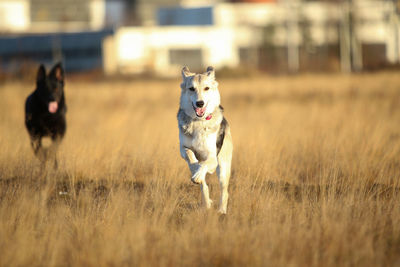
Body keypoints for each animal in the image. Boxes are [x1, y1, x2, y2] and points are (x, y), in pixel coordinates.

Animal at [177, 67, 233, 216]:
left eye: (206, 88)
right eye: (191, 88)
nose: (200, 103)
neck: (198, 121)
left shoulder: (212, 158)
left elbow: (203, 165)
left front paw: (197, 174)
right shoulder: (183, 149)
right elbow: (191, 157)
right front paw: (195, 170)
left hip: (223, 169)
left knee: (224, 192)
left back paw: (222, 211)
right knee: (204, 187)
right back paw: (206, 202)